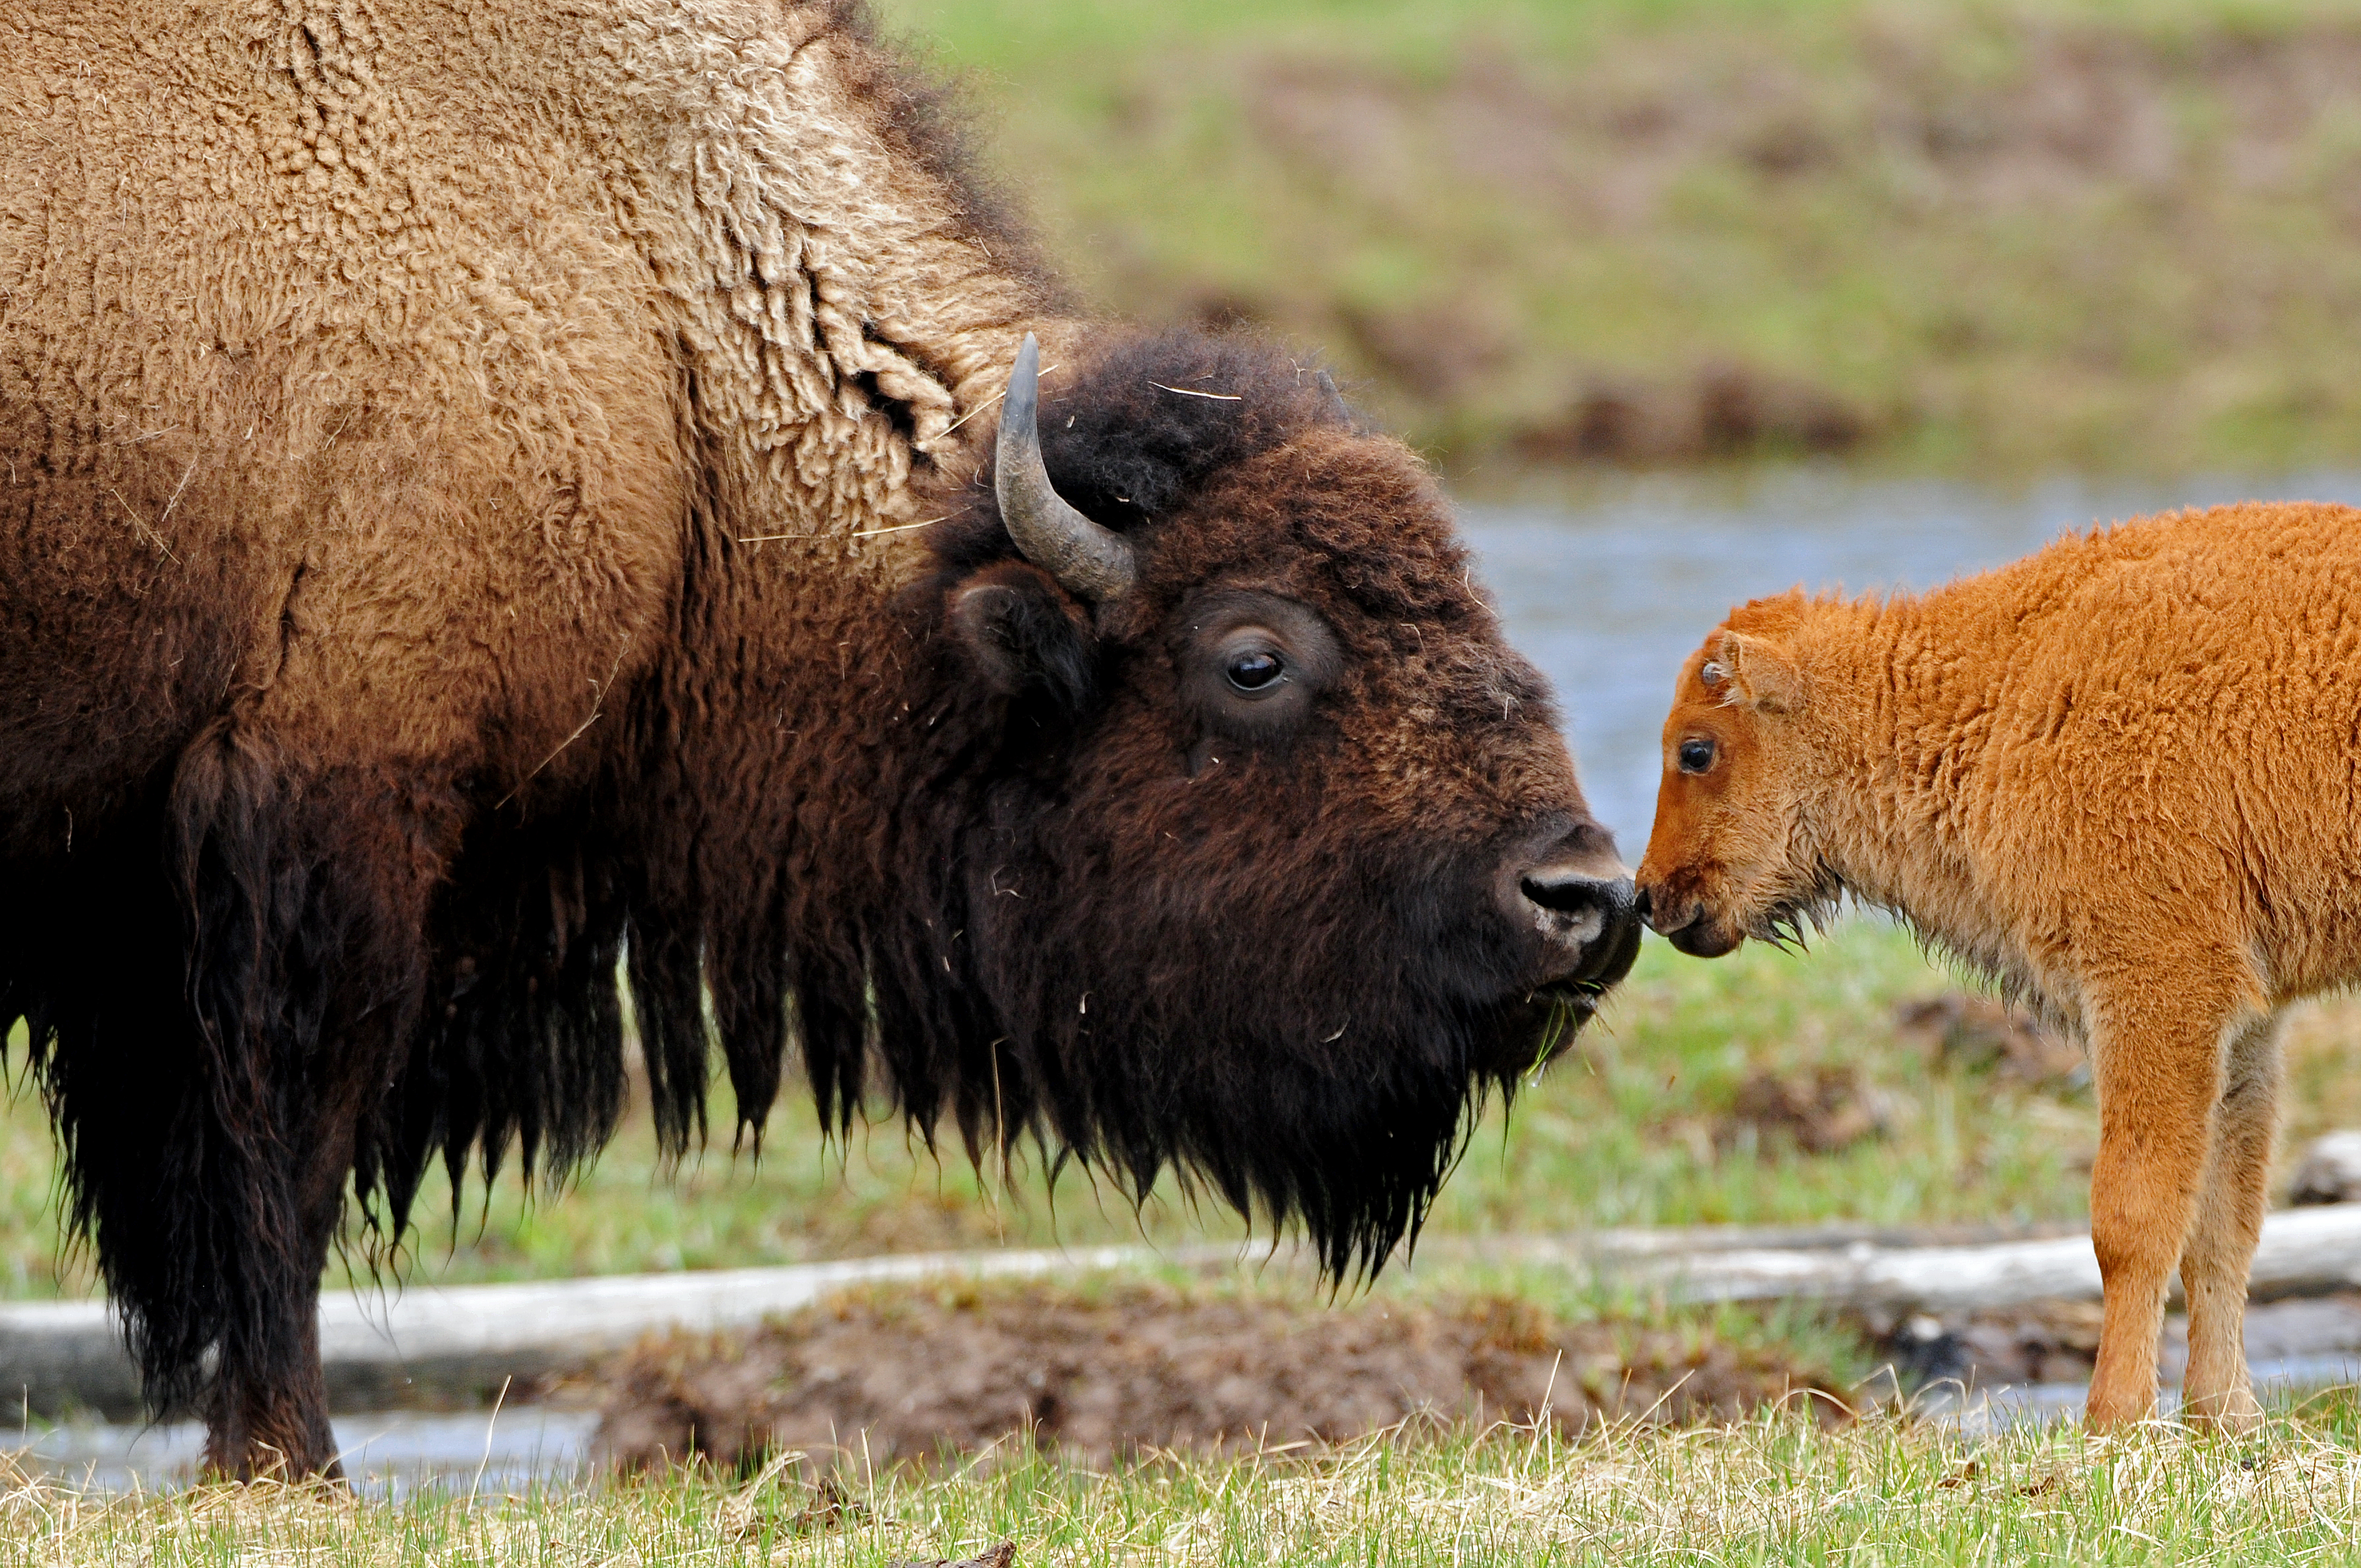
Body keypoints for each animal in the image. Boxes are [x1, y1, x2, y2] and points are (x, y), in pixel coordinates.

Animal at [0, 0, 1643, 1473]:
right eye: (1254, 657)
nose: (1581, 899)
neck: (650, 314)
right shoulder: (322, 802)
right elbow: (277, 1161)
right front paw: (287, 1459)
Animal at [1643, 503, 2361, 1435]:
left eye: (1697, 750)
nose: (1647, 896)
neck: (2012, 684)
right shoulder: (2244, 1026)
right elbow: (2221, 1226)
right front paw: (2223, 1420)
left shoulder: (2154, 984)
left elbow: (2131, 1218)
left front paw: (2111, 1419)